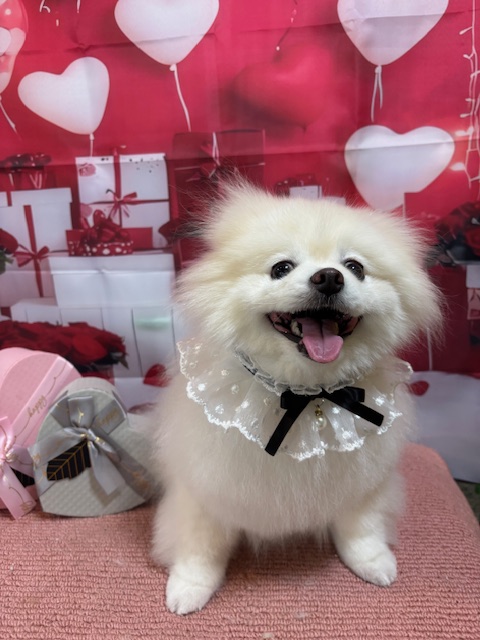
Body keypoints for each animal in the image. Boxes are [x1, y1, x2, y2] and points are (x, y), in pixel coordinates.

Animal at [148, 181, 441, 615]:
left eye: (355, 267)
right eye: (281, 268)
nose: (329, 278)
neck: (307, 393)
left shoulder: (365, 480)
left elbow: (362, 526)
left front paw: (372, 561)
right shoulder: (204, 486)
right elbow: (201, 545)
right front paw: (191, 586)